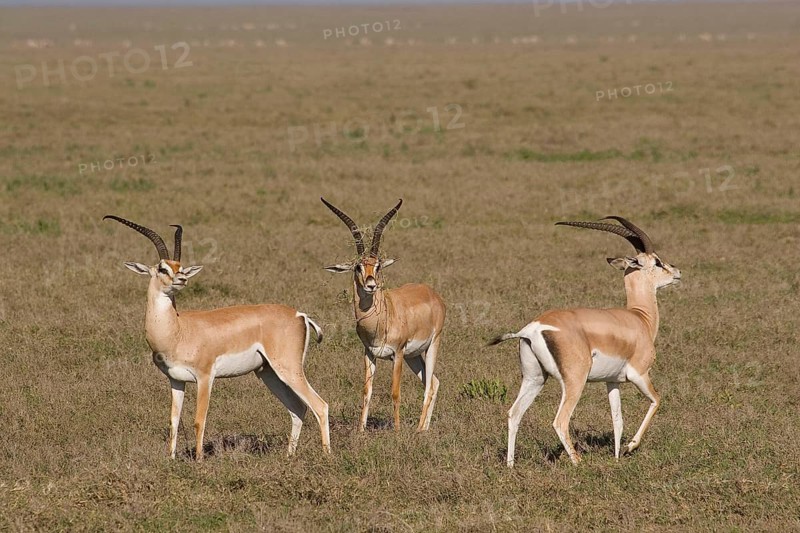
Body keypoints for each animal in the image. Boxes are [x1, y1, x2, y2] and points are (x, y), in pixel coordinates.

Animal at [104, 215, 330, 460]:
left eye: (180, 267)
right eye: (163, 268)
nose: (182, 279)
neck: (178, 331)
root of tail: (299, 314)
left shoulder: (205, 377)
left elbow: (198, 421)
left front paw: (199, 460)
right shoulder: (175, 380)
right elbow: (174, 421)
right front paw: (170, 459)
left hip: (288, 369)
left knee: (320, 405)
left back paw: (327, 456)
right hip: (268, 373)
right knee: (298, 408)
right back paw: (289, 456)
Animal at [321, 198, 446, 432]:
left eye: (378, 265)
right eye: (358, 266)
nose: (370, 285)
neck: (381, 321)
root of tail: (432, 293)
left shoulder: (397, 353)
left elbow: (395, 392)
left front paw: (396, 431)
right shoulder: (369, 354)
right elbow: (366, 392)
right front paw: (361, 431)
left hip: (432, 345)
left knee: (428, 387)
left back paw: (417, 430)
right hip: (413, 356)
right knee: (433, 382)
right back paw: (424, 429)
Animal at [490, 217, 681, 467]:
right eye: (657, 262)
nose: (677, 272)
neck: (640, 318)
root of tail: (532, 328)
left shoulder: (612, 381)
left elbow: (617, 420)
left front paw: (617, 457)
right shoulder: (640, 374)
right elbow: (657, 400)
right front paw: (629, 447)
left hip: (535, 378)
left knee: (514, 413)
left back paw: (511, 466)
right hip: (575, 381)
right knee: (560, 421)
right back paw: (578, 462)